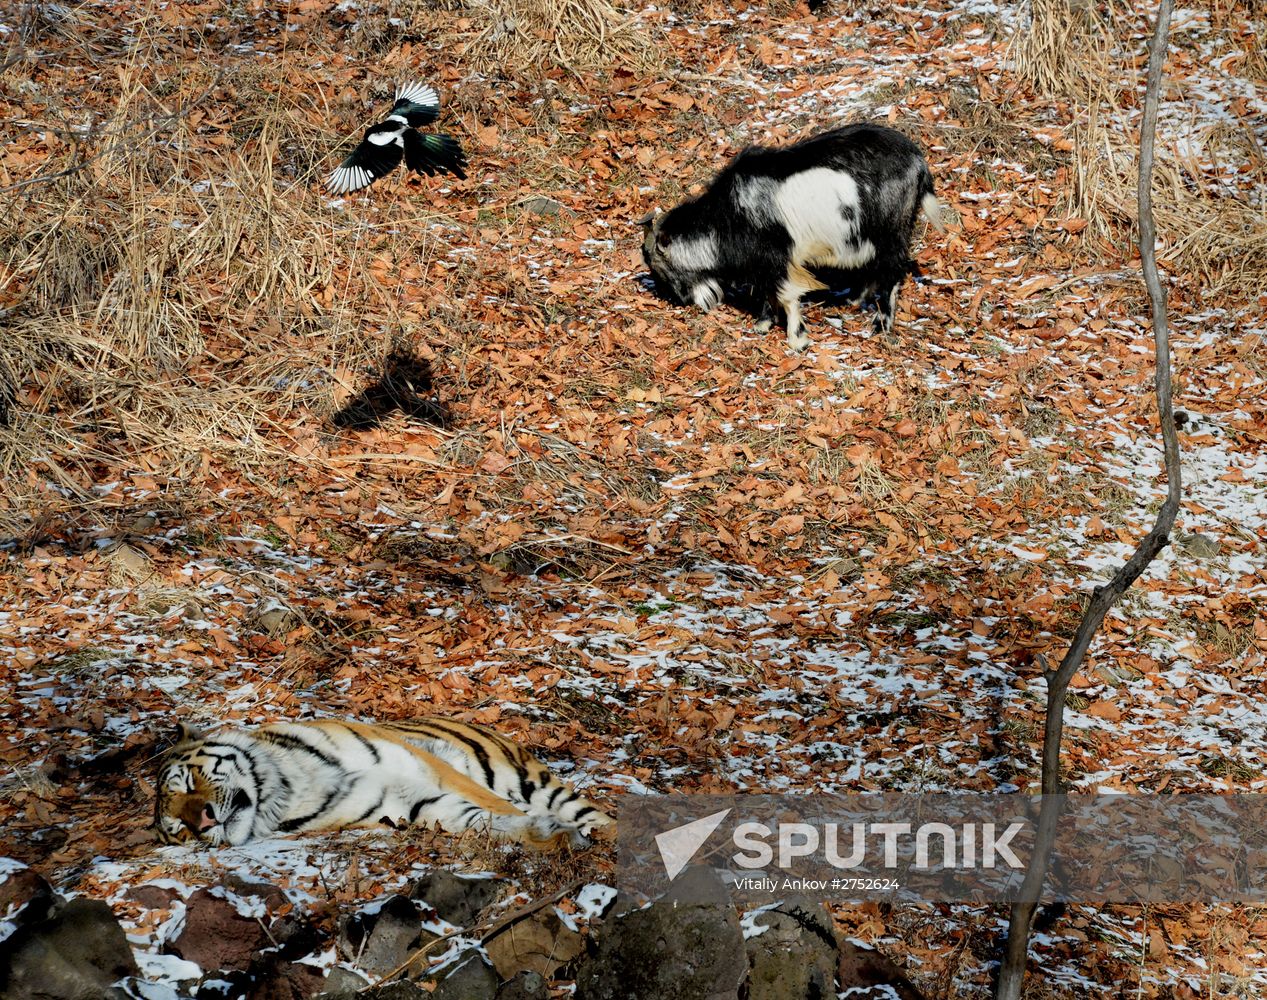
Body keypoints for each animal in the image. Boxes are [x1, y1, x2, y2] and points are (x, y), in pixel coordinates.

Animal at [152, 717, 614, 850]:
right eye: (180, 830)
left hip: (522, 775)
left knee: (599, 817)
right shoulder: (412, 804)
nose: (203, 823)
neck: (288, 788)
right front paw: (547, 835)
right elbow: (485, 821)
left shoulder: (432, 770)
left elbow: (498, 808)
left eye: (190, 782)